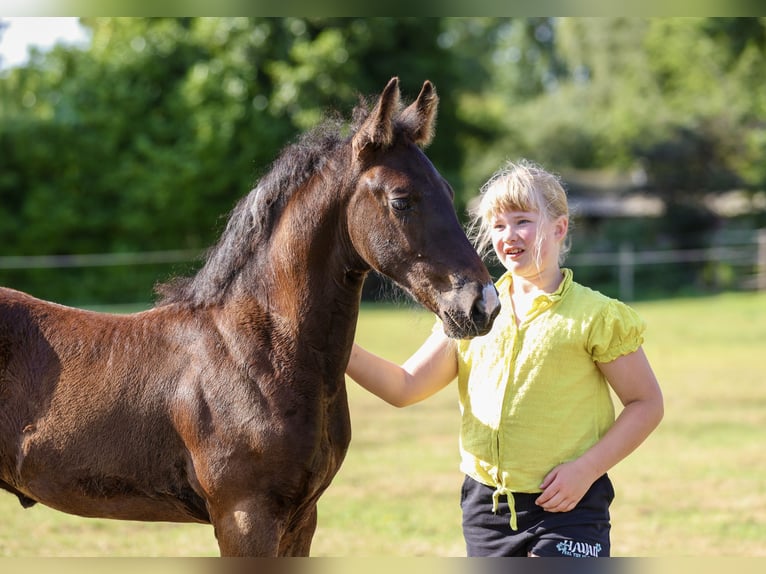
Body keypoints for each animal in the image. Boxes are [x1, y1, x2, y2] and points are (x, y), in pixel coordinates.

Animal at [0, 77, 500, 556]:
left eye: (449, 192)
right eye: (402, 200)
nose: (484, 304)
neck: (261, 352)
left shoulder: (301, 520)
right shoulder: (244, 517)